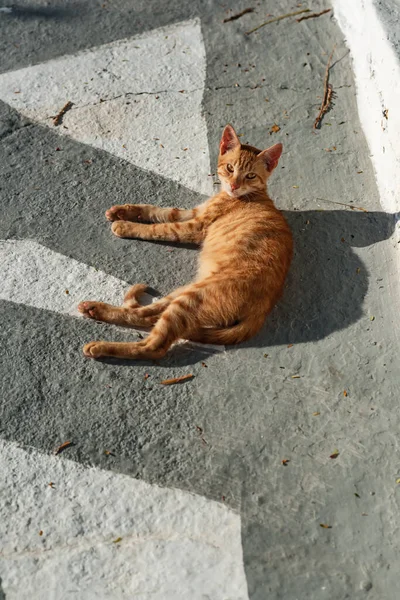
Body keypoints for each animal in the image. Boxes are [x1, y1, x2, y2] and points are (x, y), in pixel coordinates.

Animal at [79, 124, 294, 358]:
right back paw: (95, 309)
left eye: (250, 175)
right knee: (146, 315)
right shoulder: (193, 213)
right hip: (183, 292)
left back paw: (101, 346)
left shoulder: (195, 226)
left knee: (154, 346)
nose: (234, 185)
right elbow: (159, 211)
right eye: (230, 168)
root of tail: (262, 312)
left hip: (190, 299)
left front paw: (126, 225)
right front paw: (124, 211)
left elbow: (160, 227)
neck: (243, 196)